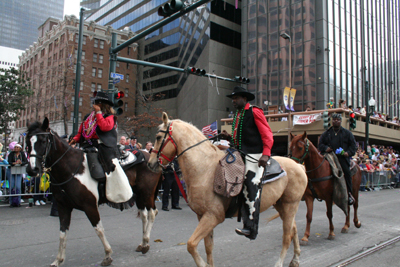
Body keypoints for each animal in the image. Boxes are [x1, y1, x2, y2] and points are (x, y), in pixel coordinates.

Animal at [25, 119, 161, 267]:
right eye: (27, 142)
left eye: (43, 141)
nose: (32, 170)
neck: (71, 169)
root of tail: (151, 157)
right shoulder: (63, 206)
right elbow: (62, 233)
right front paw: (58, 260)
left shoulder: (89, 205)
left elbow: (99, 229)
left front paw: (107, 255)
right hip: (139, 195)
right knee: (144, 215)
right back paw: (143, 243)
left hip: (147, 192)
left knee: (152, 213)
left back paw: (146, 243)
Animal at [148, 112, 308, 267]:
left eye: (158, 137)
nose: (150, 164)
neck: (205, 168)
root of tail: (298, 165)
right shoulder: (202, 216)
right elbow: (208, 247)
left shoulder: (213, 216)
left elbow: (191, 244)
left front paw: (204, 264)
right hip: (281, 205)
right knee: (293, 229)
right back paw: (295, 259)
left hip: (290, 205)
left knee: (287, 236)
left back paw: (279, 263)